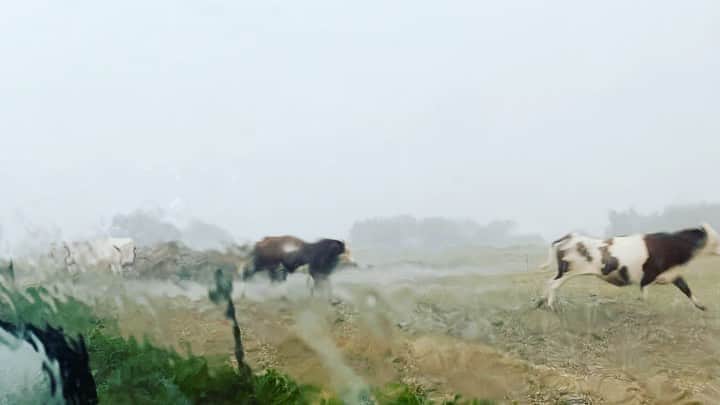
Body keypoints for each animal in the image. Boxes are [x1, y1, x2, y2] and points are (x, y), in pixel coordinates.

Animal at [538, 223, 720, 311]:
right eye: (716, 240)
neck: (671, 245)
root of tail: (572, 236)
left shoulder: (673, 274)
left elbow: (686, 289)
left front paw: (701, 306)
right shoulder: (648, 276)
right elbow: (644, 294)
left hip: (562, 270)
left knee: (548, 281)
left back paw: (542, 302)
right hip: (569, 271)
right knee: (553, 284)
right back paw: (550, 305)